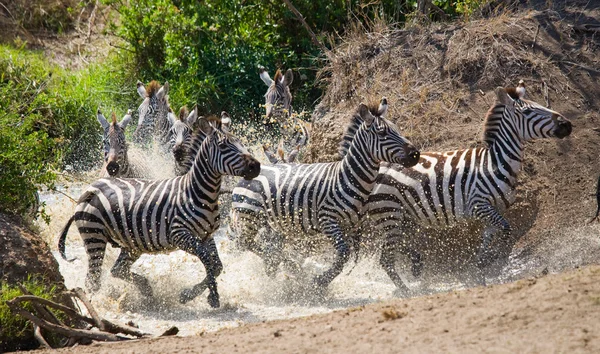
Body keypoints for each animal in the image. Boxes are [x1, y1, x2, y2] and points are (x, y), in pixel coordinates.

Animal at [57, 114, 262, 306]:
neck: (201, 194)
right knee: (93, 280)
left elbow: (217, 265)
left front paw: (189, 295)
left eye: (241, 143)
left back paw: (146, 289)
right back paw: (97, 303)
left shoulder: (207, 235)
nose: (257, 166)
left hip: (131, 244)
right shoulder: (180, 235)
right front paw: (212, 296)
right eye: (223, 146)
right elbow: (207, 260)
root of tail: (89, 189)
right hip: (94, 235)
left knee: (117, 269)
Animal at [230, 97, 422, 288]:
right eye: (382, 133)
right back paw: (280, 264)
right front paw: (320, 282)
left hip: (270, 223)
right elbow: (343, 253)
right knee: (244, 243)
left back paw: (281, 265)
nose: (416, 154)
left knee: (260, 245)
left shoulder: (353, 225)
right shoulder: (328, 220)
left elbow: (374, 247)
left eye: (397, 129)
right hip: (249, 216)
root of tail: (250, 172)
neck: (347, 178)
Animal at [368, 83, 576, 294]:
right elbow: (506, 229)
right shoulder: (479, 205)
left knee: (397, 247)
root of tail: (380, 166)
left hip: (402, 217)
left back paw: (416, 267)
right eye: (527, 111)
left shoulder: (493, 211)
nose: (567, 124)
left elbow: (489, 239)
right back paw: (407, 291)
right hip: (389, 214)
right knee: (386, 259)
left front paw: (481, 268)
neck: (494, 163)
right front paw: (492, 261)